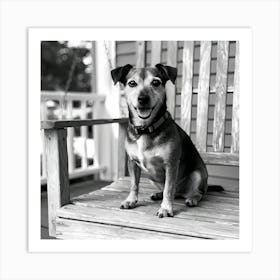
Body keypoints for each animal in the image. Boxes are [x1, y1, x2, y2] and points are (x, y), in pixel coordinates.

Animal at [110, 64, 222, 219]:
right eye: (132, 83)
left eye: (155, 82)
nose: (143, 98)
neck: (146, 129)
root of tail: (182, 193)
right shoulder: (132, 163)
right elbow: (134, 184)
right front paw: (130, 200)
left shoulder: (171, 164)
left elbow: (168, 189)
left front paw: (166, 208)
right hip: (152, 178)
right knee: (171, 192)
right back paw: (158, 194)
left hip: (198, 175)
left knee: (196, 193)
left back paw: (192, 198)